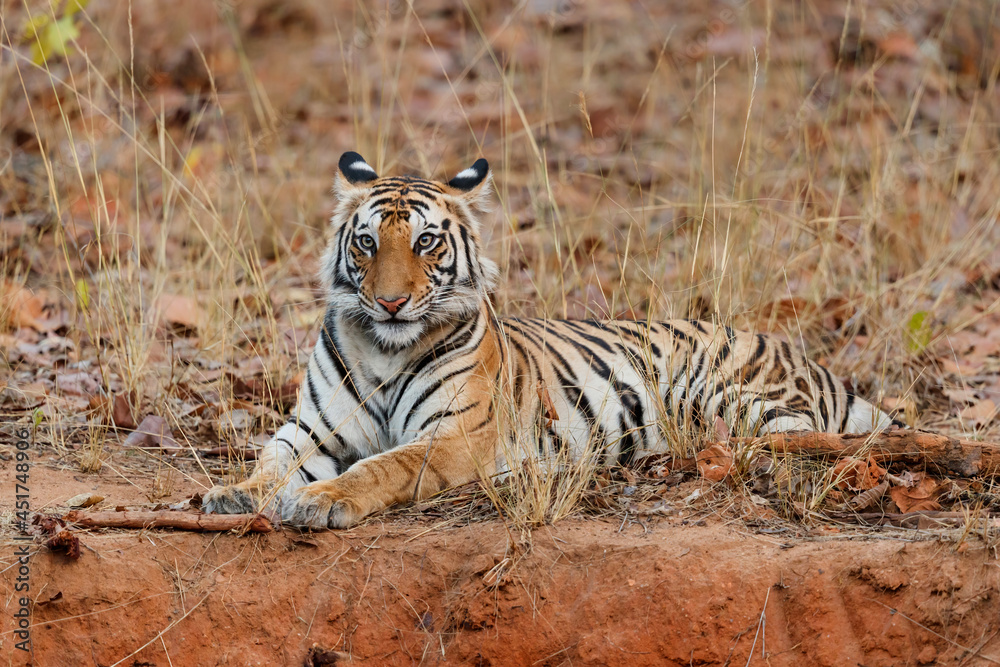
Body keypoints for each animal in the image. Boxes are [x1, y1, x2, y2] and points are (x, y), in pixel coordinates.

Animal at [202, 152, 896, 529]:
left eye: (425, 242)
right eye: (367, 243)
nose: (391, 302)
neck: (384, 348)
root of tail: (817, 364)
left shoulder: (454, 438)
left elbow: (380, 465)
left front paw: (322, 500)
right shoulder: (313, 429)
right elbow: (271, 463)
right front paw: (233, 494)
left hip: (730, 393)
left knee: (807, 441)